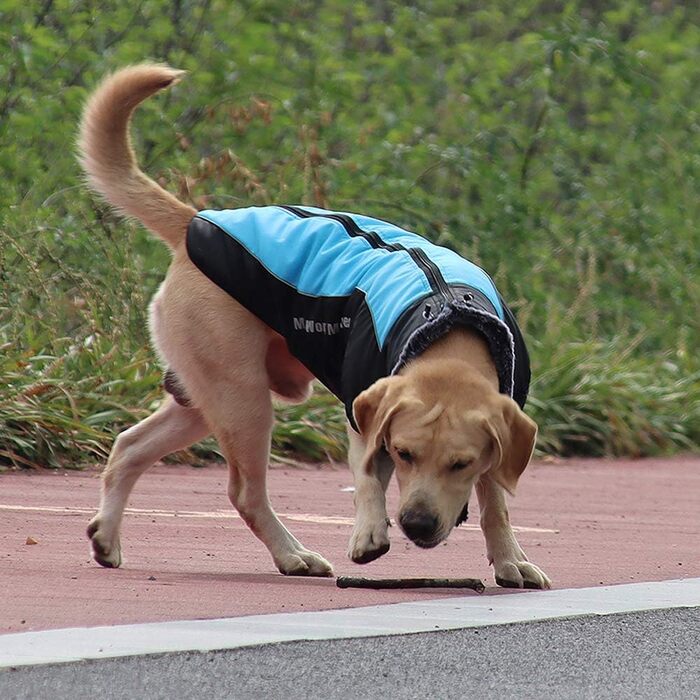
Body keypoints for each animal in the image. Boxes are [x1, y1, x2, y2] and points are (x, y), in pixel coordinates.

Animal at [78, 67, 552, 592]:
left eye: (461, 464)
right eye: (403, 453)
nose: (416, 525)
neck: (448, 323)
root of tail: (194, 223)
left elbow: (496, 502)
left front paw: (510, 559)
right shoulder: (363, 413)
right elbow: (367, 477)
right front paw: (368, 532)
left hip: (203, 400)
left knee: (129, 447)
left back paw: (107, 538)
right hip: (242, 401)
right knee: (244, 492)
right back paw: (293, 555)